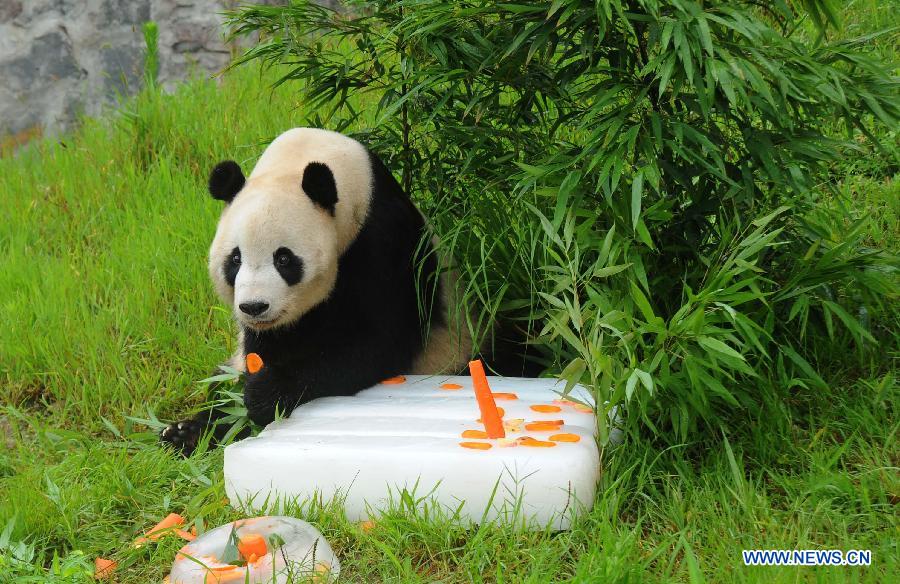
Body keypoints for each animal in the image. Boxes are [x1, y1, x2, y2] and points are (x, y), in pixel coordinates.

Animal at [159, 128, 482, 454]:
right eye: (235, 259)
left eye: (284, 259)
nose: (254, 307)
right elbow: (263, 349)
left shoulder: (386, 243)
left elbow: (378, 343)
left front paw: (266, 393)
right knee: (219, 385)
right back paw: (185, 432)